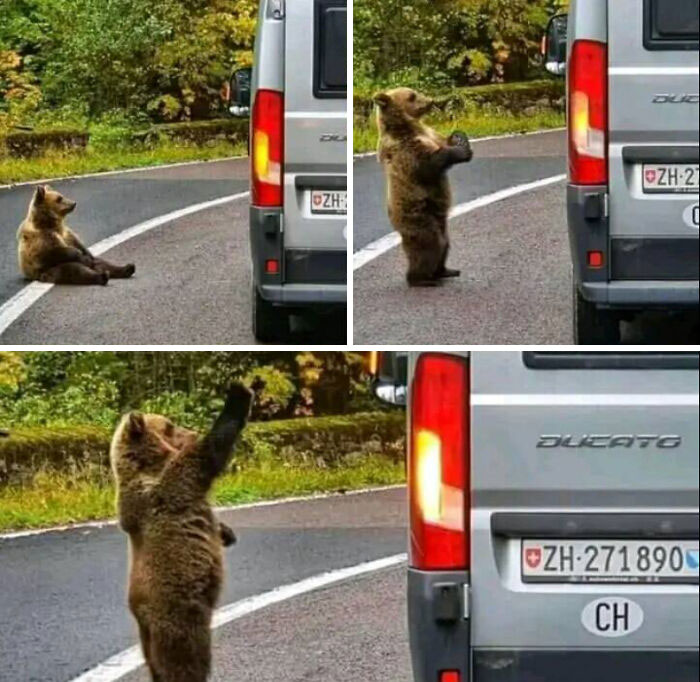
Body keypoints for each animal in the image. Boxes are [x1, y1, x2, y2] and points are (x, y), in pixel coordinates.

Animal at [110, 384, 253, 682]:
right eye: (170, 425)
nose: (192, 432)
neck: (148, 463)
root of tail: (140, 615)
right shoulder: (171, 485)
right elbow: (209, 453)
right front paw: (239, 393)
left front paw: (226, 533)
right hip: (179, 615)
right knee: (187, 659)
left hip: (150, 635)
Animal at [374, 87, 474, 286]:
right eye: (411, 96)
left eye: (415, 92)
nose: (431, 100)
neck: (410, 127)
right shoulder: (405, 151)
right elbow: (428, 165)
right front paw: (460, 150)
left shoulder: (431, 134)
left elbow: (444, 141)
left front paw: (459, 137)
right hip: (419, 217)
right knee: (430, 245)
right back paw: (423, 279)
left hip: (439, 221)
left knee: (445, 243)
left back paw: (446, 271)